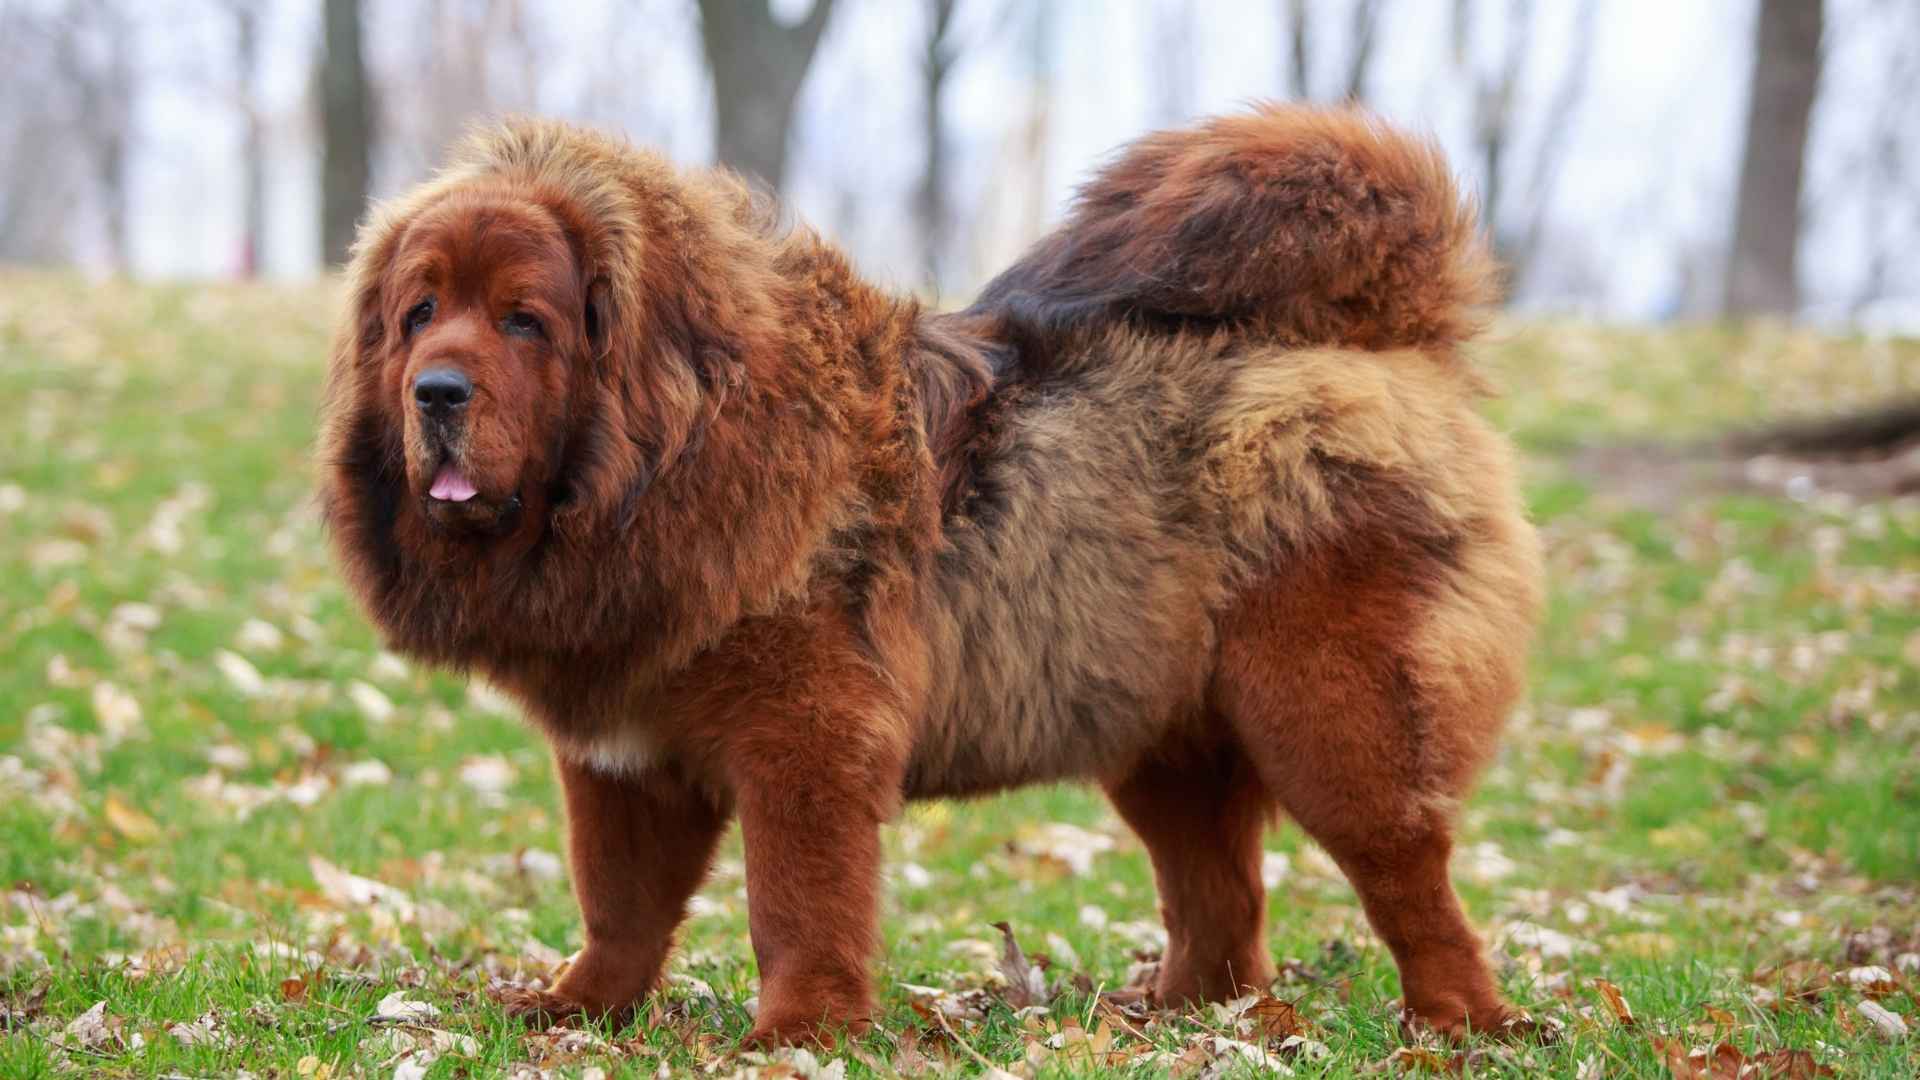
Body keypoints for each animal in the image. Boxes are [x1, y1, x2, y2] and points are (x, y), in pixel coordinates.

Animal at [314, 102, 1543, 1045]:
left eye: (525, 322)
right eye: (419, 314)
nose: (436, 391)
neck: (668, 461)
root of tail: (1392, 343)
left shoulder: (804, 736)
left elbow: (796, 901)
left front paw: (798, 1035)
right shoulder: (622, 756)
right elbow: (618, 903)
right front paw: (576, 1011)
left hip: (1329, 715)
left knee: (1408, 878)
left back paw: (1459, 1026)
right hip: (1161, 736)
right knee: (1224, 905)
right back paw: (1176, 1018)